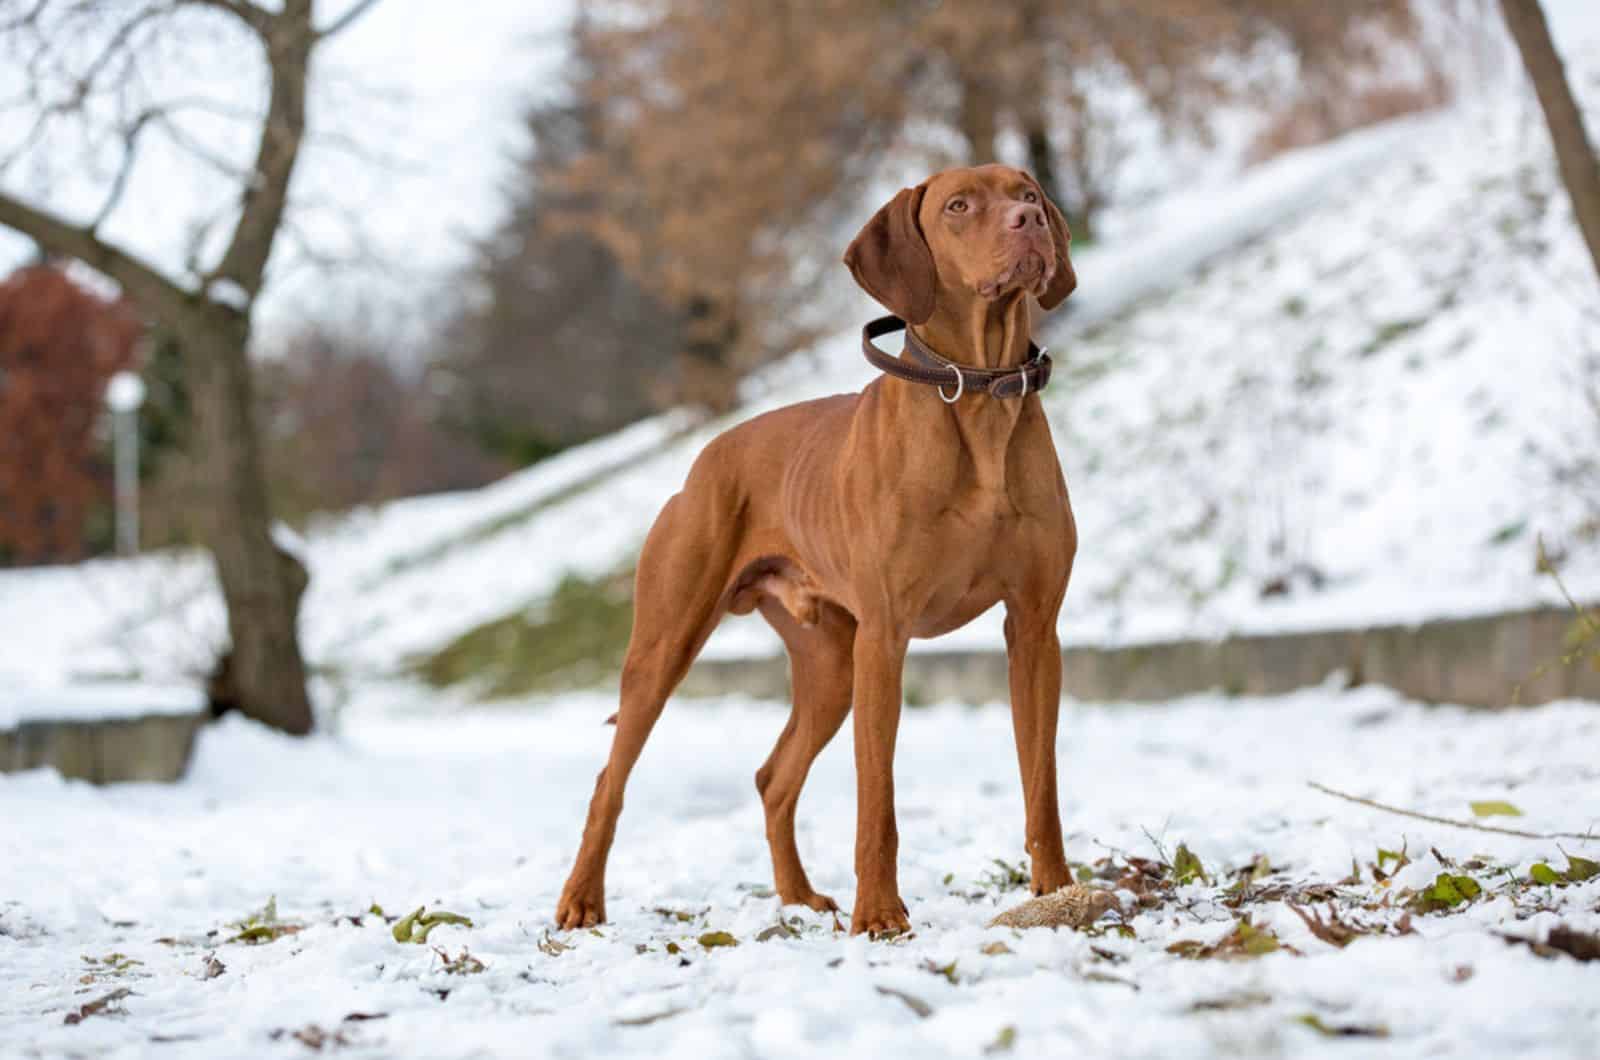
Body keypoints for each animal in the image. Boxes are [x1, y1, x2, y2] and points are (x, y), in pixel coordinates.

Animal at [556, 166, 1081, 941]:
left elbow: (1041, 780)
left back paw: (798, 899)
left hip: (830, 665)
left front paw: (1057, 891)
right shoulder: (885, 638)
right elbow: (877, 802)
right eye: (958, 205)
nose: (1031, 223)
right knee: (607, 780)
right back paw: (581, 901)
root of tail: (706, 456)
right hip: (666, 647)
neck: (978, 396)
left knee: (774, 778)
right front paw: (881, 916)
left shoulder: (1036, 629)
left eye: (1028, 192)